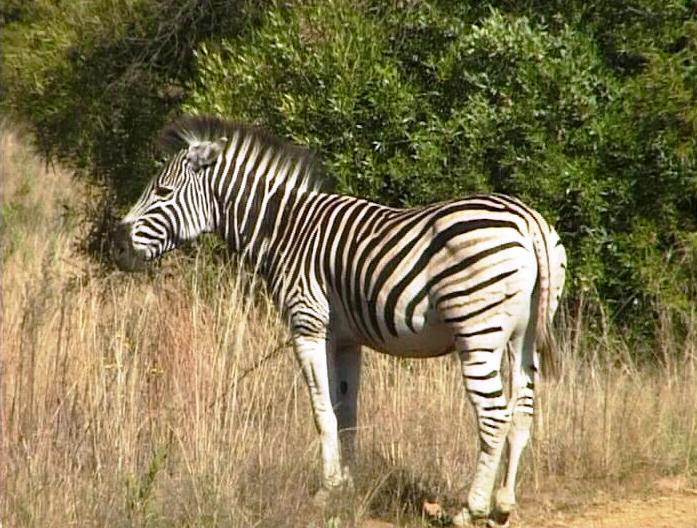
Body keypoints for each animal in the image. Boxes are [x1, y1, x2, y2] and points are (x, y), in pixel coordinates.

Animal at [110, 114, 564, 524]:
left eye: (162, 191)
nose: (117, 246)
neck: (284, 230)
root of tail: (528, 220)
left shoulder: (308, 324)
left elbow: (322, 409)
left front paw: (327, 489)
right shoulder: (347, 338)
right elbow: (347, 411)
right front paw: (348, 483)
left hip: (476, 332)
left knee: (494, 415)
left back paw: (472, 509)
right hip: (523, 337)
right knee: (523, 412)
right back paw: (504, 504)